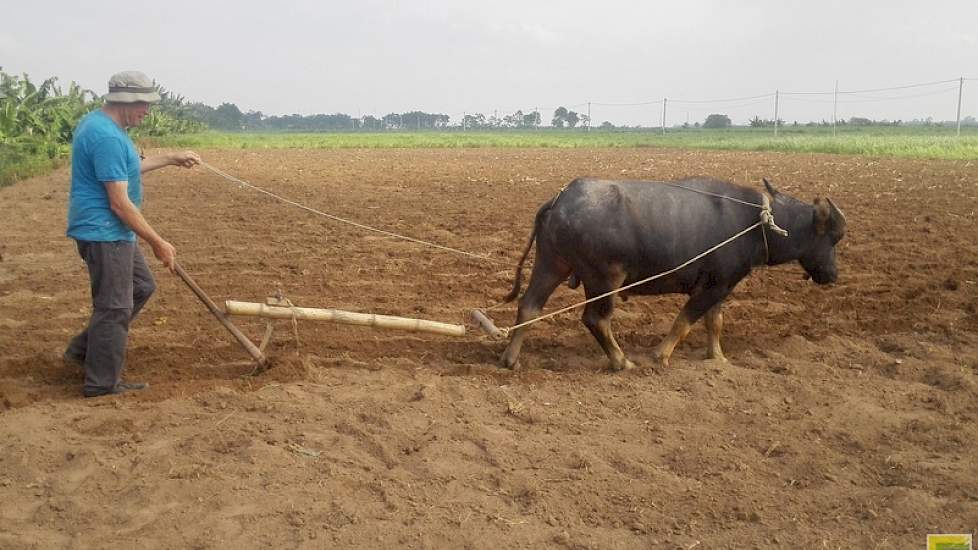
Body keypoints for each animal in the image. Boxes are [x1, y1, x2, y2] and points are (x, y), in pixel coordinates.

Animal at [500, 179, 844, 370]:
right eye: (832, 238)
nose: (833, 274)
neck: (753, 223)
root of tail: (560, 200)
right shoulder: (712, 287)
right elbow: (685, 321)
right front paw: (660, 356)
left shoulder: (721, 285)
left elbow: (714, 322)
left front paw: (717, 358)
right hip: (604, 279)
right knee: (596, 319)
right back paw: (621, 361)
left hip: (551, 264)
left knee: (529, 306)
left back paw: (510, 359)